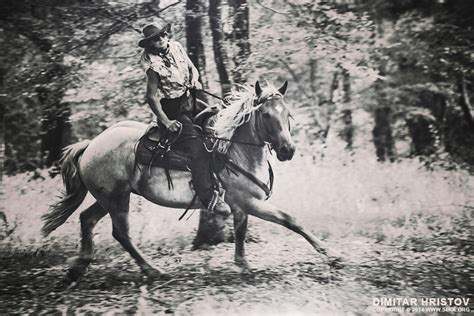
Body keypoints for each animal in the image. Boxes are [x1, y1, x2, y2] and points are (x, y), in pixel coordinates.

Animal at [42, 79, 342, 282]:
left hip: (110, 197)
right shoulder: (251, 202)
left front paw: (242, 264)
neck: (235, 149)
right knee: (121, 233)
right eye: (266, 115)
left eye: (287, 113)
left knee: (87, 219)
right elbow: (291, 220)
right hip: (116, 199)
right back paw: (152, 270)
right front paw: (331, 254)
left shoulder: (241, 205)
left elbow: (241, 232)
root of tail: (90, 145)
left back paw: (79, 266)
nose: (287, 150)